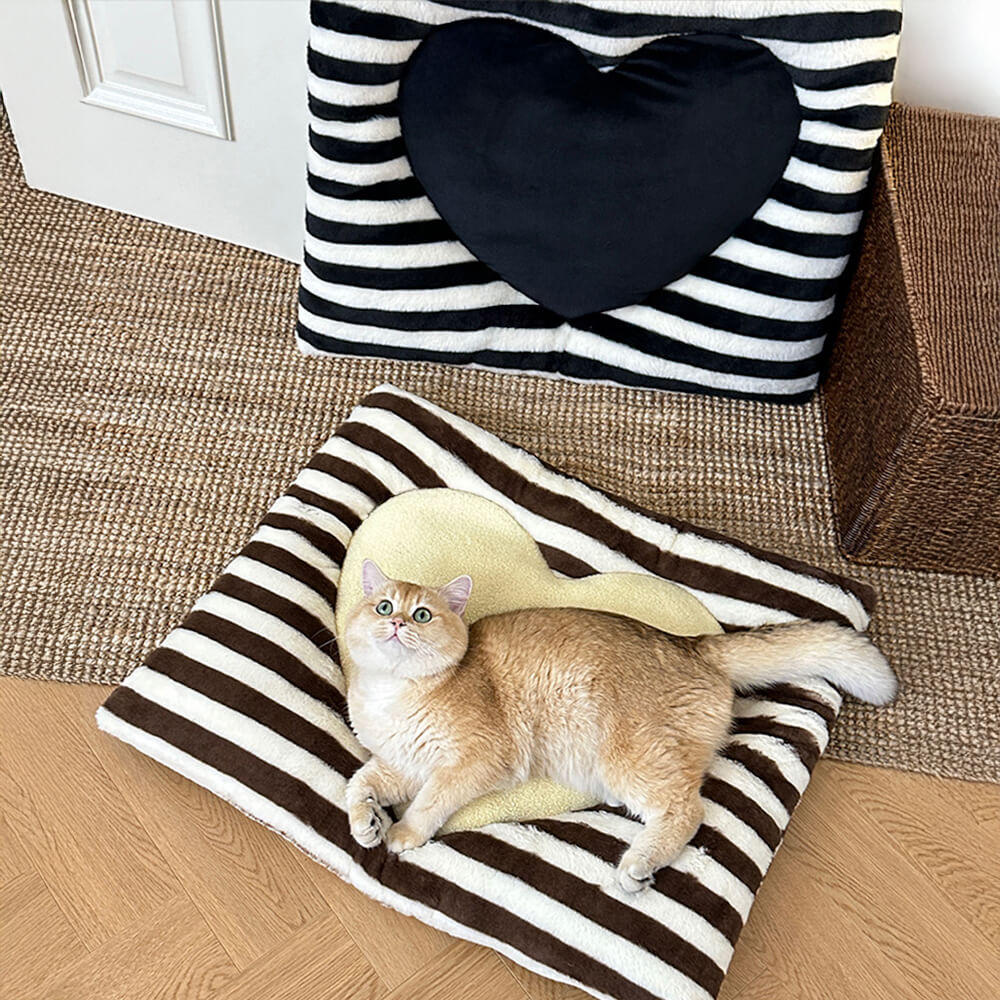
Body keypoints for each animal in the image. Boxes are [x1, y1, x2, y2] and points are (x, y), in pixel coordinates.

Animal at [344, 560, 900, 896]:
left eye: (422, 614)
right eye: (383, 606)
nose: (396, 624)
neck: (394, 694)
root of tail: (695, 645)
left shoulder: (474, 760)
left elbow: (430, 801)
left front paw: (402, 833)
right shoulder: (401, 764)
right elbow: (360, 782)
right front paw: (365, 823)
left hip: (628, 757)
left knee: (688, 809)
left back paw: (637, 866)